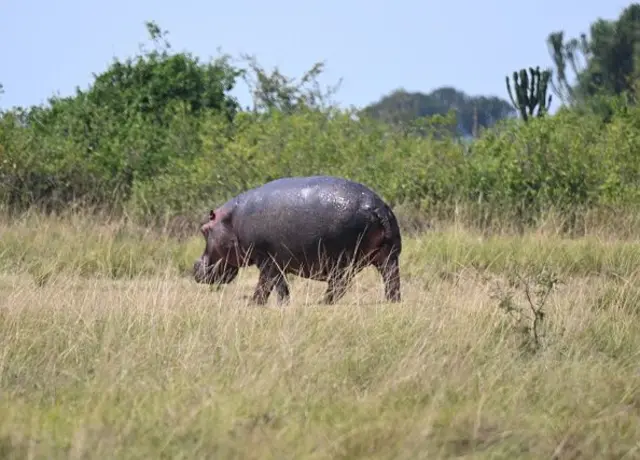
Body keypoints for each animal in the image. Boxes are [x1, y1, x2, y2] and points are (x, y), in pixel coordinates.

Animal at [193, 175, 402, 305]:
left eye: (204, 230)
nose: (195, 267)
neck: (231, 220)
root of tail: (376, 206)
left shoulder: (266, 259)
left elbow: (268, 285)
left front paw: (255, 305)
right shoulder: (275, 261)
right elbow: (277, 285)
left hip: (343, 260)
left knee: (339, 286)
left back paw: (320, 303)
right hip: (387, 255)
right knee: (391, 279)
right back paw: (392, 301)